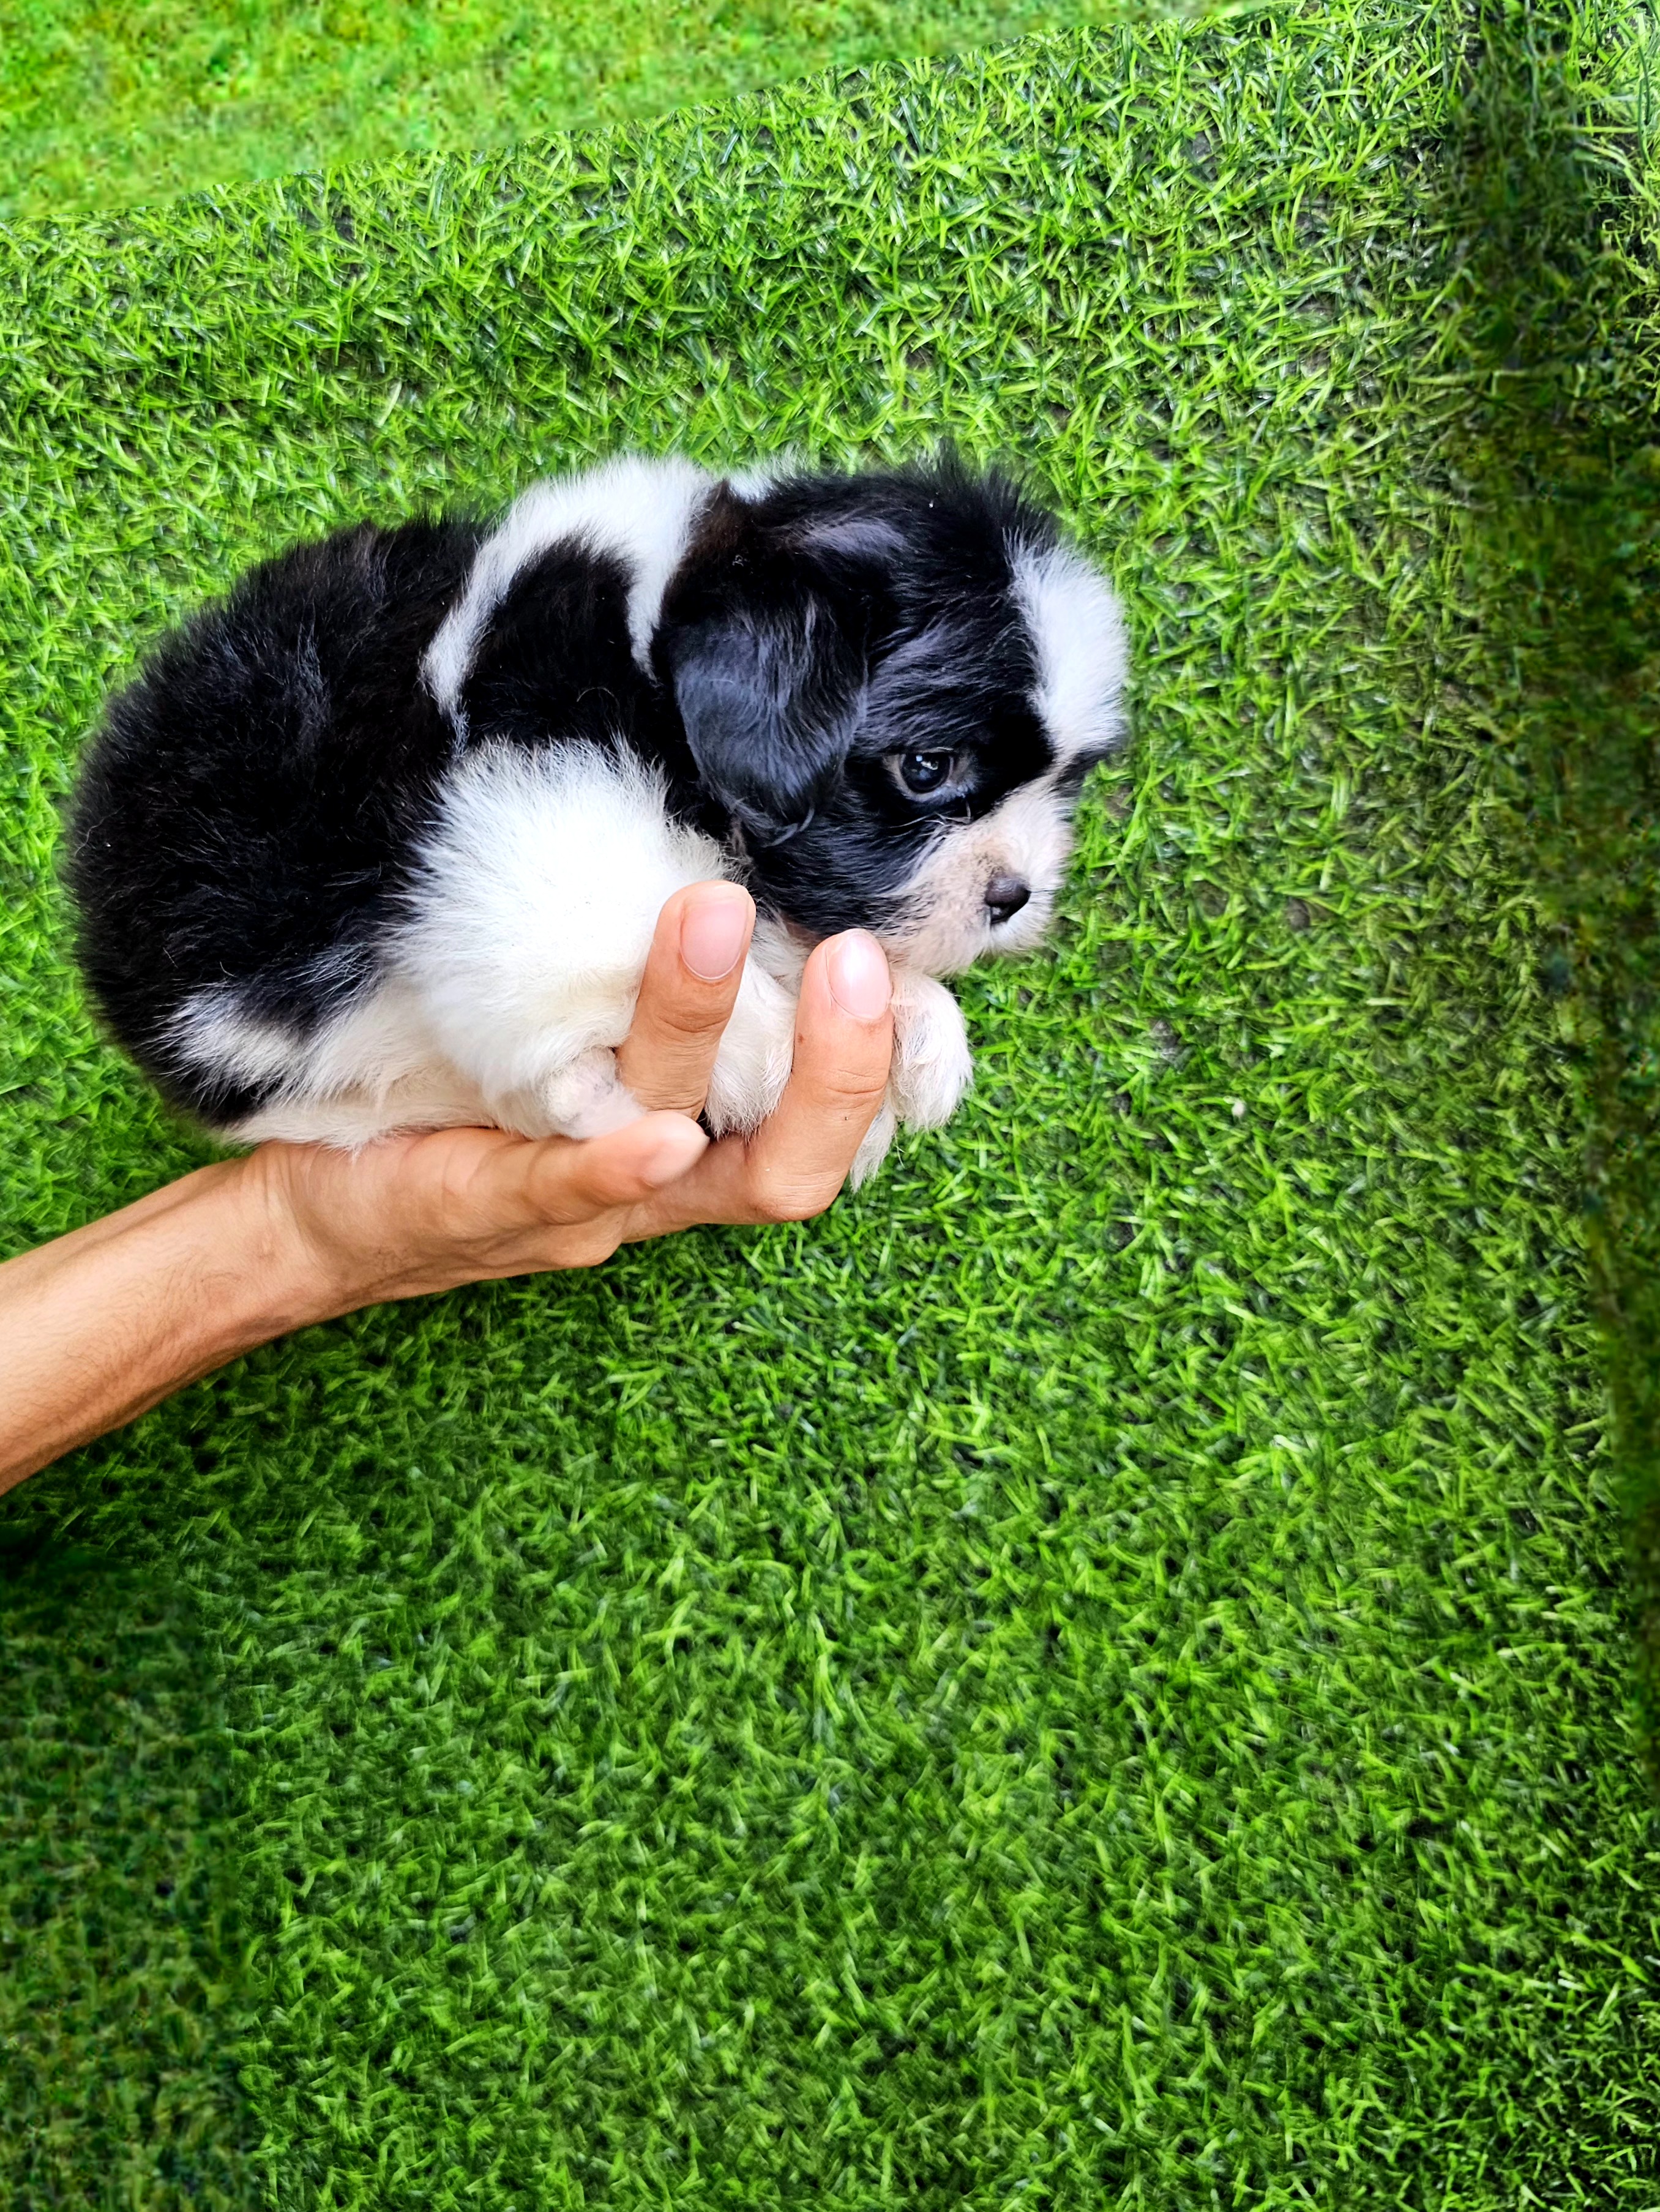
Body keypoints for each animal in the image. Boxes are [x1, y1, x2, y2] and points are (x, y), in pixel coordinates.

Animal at [68, 449, 1133, 1186]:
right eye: (927, 768)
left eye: (1067, 784)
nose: (1015, 895)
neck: (648, 647)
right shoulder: (535, 806)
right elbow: (619, 914)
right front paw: (767, 1053)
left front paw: (918, 1019)